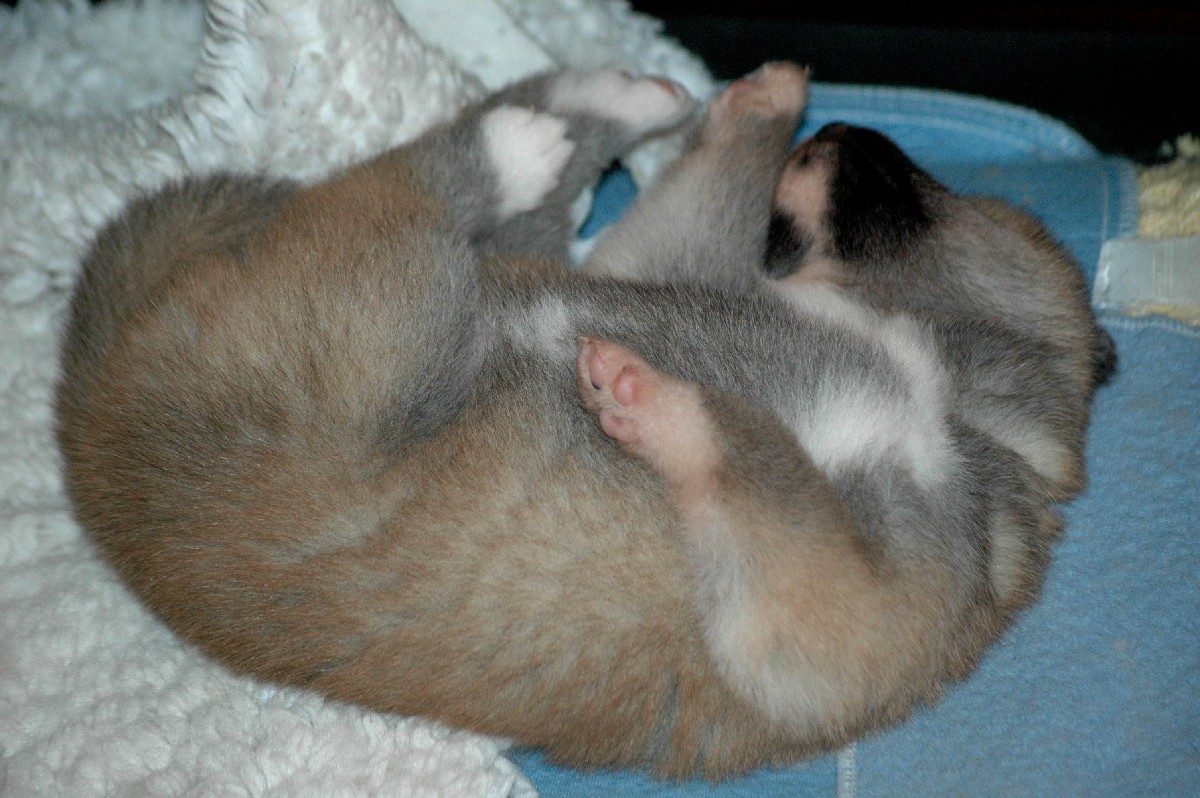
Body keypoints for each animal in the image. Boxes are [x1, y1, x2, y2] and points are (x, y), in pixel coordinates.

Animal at [55, 63, 1112, 779]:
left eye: (923, 190)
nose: (844, 126)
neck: (956, 397)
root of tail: (88, 403)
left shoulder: (823, 610)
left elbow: (756, 462)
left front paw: (653, 400)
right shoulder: (652, 268)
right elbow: (700, 226)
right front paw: (762, 110)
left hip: (373, 318)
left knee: (419, 185)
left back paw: (531, 140)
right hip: (426, 295)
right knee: (472, 191)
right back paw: (621, 103)